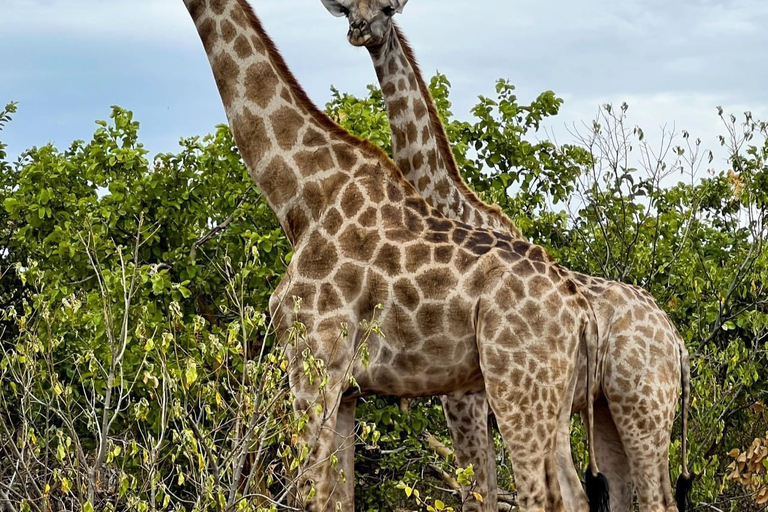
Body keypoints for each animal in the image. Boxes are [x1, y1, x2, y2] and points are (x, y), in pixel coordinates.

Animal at [183, 2, 608, 510]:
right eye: (349, 7)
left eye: (386, 8)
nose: (357, 28)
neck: (303, 194)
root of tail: (580, 310)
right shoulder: (347, 389)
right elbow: (341, 496)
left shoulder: (314, 363)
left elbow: (308, 493)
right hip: (552, 399)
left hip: (515, 387)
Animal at [318, 1, 696, 512]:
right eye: (348, 10)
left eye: (384, 8)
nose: (359, 31)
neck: (449, 204)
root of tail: (677, 342)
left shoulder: (470, 396)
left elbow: (485, 490)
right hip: (608, 410)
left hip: (645, 406)